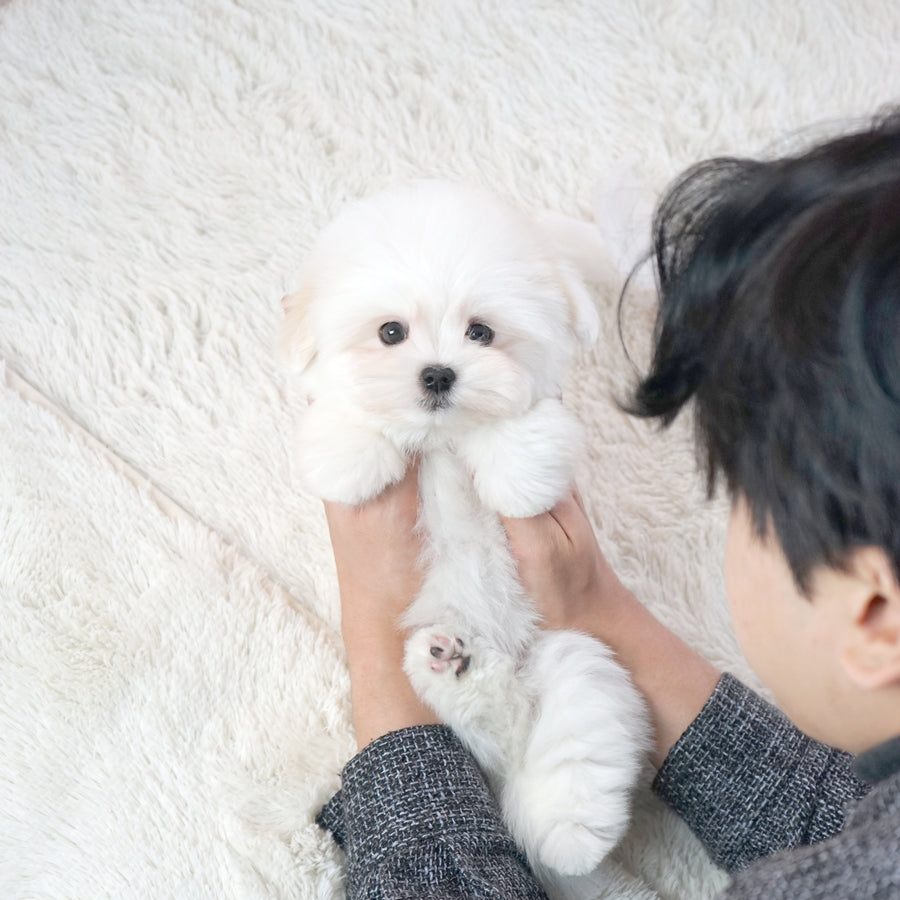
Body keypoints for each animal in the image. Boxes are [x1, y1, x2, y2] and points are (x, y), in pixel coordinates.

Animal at [280, 179, 648, 884]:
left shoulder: (544, 408)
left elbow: (525, 426)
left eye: (482, 332)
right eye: (390, 332)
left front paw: (517, 472)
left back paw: (570, 832)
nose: (438, 373)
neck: (441, 440)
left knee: (567, 750)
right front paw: (351, 453)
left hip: (573, 659)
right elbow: (345, 410)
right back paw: (454, 668)